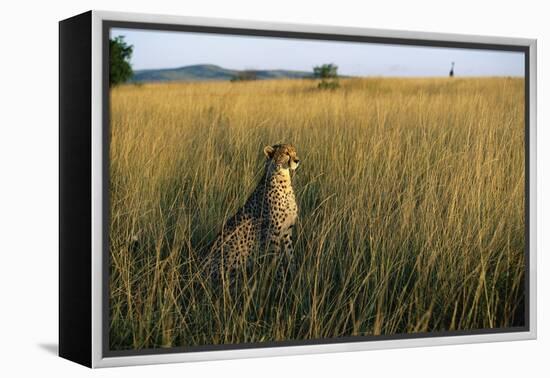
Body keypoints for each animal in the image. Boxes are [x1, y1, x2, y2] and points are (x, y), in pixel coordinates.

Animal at [205, 144, 302, 284]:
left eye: (294, 152)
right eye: (286, 153)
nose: (297, 160)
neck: (283, 179)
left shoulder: (287, 231)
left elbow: (291, 257)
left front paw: (294, 277)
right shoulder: (272, 234)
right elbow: (277, 263)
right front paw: (281, 283)